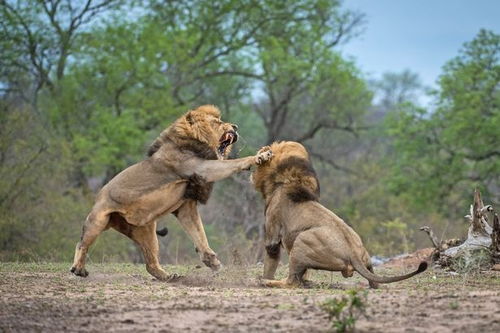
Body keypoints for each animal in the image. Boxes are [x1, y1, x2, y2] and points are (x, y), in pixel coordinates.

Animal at [71, 105, 274, 278]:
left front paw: (212, 261)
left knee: (150, 263)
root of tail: (98, 196)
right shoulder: (203, 168)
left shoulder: (186, 207)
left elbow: (199, 235)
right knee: (81, 243)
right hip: (98, 219)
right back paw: (78, 269)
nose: (235, 126)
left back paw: (168, 276)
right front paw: (260, 156)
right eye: (217, 122)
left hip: (147, 232)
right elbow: (235, 163)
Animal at [252, 141, 428, 288]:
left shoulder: (273, 235)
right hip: (365, 259)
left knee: (292, 281)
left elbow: (270, 260)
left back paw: (266, 281)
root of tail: (354, 254)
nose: (259, 154)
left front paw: (265, 277)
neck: (286, 180)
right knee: (375, 283)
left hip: (302, 240)